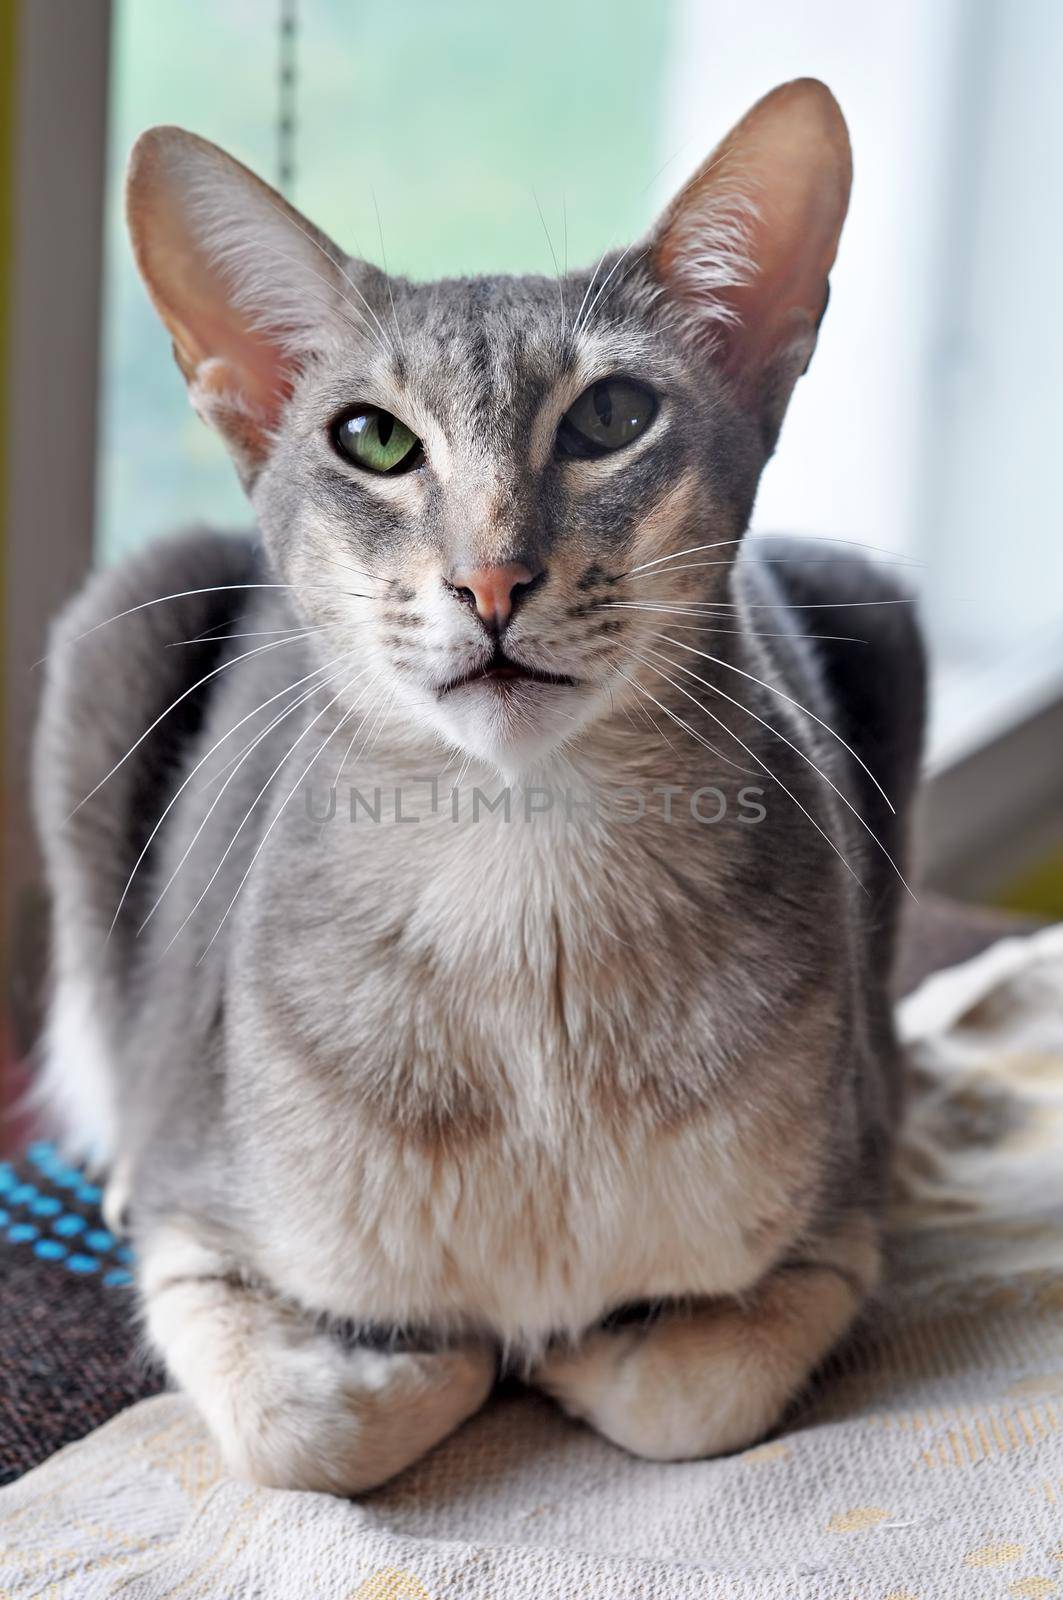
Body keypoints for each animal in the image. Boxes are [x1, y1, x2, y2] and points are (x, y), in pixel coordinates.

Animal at [35, 81, 922, 1491]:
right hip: (117, 624)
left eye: (612, 418)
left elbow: (695, 1396)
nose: (492, 580)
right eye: (374, 438)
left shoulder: (842, 1220)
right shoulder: (195, 1231)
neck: (523, 894)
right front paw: (448, 1351)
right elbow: (309, 1428)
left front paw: (573, 1352)